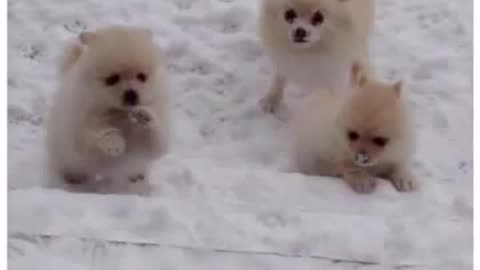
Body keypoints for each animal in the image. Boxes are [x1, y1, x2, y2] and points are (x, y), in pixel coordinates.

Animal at [47, 25, 170, 190]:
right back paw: (73, 179)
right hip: (67, 156)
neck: (121, 113)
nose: (131, 94)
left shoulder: (155, 135)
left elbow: (156, 141)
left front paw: (145, 115)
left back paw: (137, 177)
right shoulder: (83, 124)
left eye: (142, 77)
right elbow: (99, 131)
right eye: (112, 79)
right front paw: (115, 144)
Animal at [288, 62, 416, 194]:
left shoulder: (399, 150)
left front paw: (406, 179)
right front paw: (361, 179)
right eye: (352, 135)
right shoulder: (319, 155)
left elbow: (399, 164)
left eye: (380, 140)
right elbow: (345, 164)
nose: (361, 157)